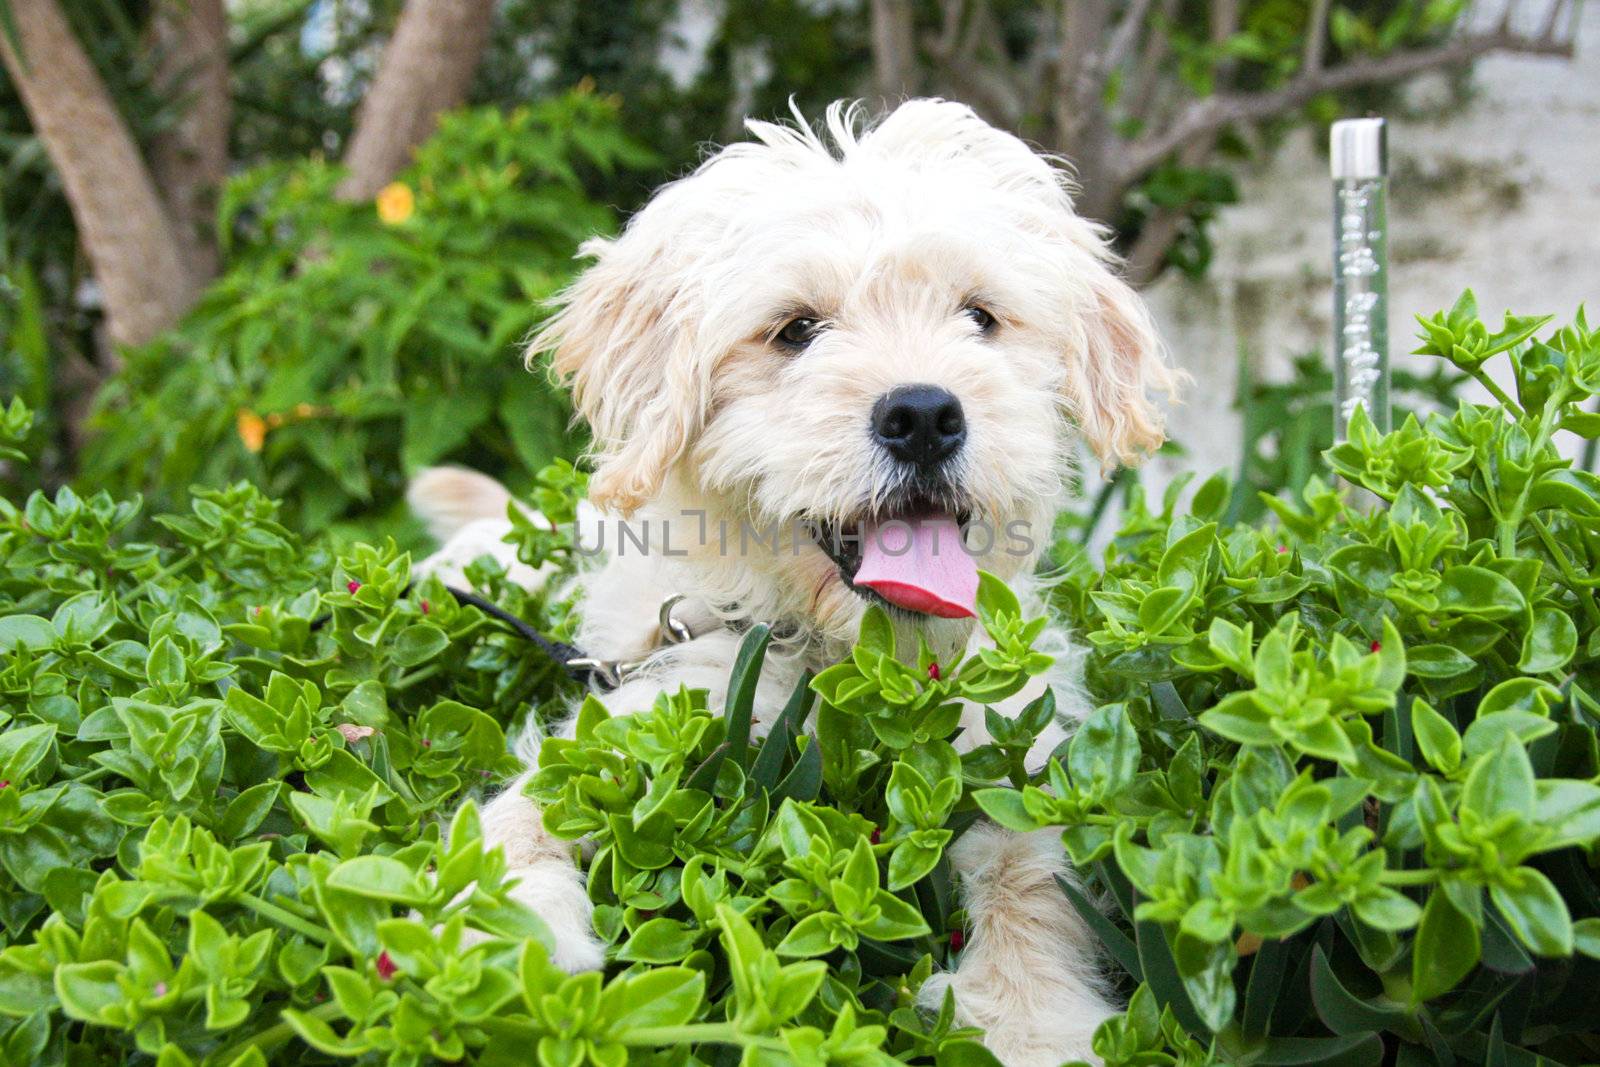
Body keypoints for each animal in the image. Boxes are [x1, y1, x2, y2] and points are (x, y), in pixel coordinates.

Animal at [409, 99, 1177, 1067]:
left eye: (979, 316)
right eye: (797, 329)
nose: (923, 413)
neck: (857, 659)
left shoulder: (1016, 744)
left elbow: (1034, 877)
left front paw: (1028, 1019)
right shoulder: (669, 698)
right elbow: (522, 810)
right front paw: (499, 925)